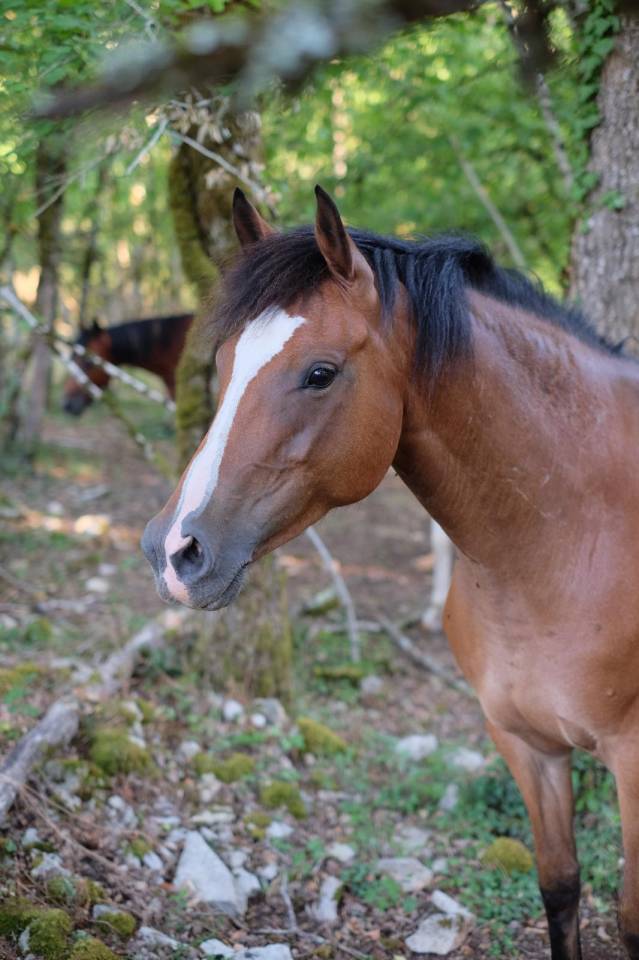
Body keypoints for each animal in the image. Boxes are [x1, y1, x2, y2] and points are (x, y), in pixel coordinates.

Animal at [142, 185, 639, 960]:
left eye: (319, 373)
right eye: (222, 362)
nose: (173, 551)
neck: (569, 536)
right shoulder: (525, 745)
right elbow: (560, 886)